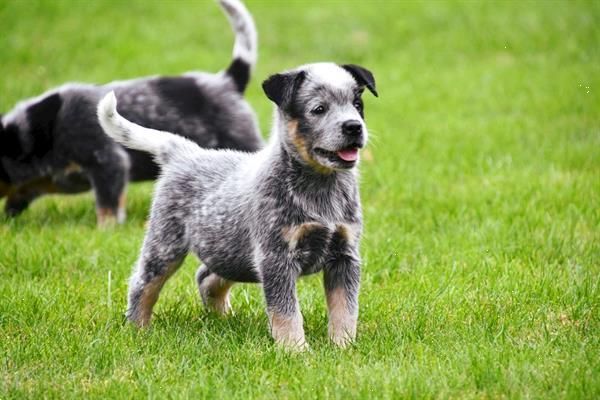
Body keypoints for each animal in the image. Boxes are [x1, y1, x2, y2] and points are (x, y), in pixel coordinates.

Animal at [0, 0, 262, 225]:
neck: (45, 132)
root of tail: (227, 81)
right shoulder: (45, 181)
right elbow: (20, 195)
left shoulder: (106, 161)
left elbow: (108, 205)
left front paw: (107, 229)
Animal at [99, 61, 380, 350]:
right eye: (319, 109)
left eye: (357, 104)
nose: (354, 126)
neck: (321, 187)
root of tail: (187, 153)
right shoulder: (276, 259)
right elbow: (287, 312)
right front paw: (295, 350)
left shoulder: (345, 255)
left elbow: (345, 308)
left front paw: (343, 346)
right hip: (166, 244)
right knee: (143, 283)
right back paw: (137, 329)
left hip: (232, 253)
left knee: (205, 276)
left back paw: (221, 318)